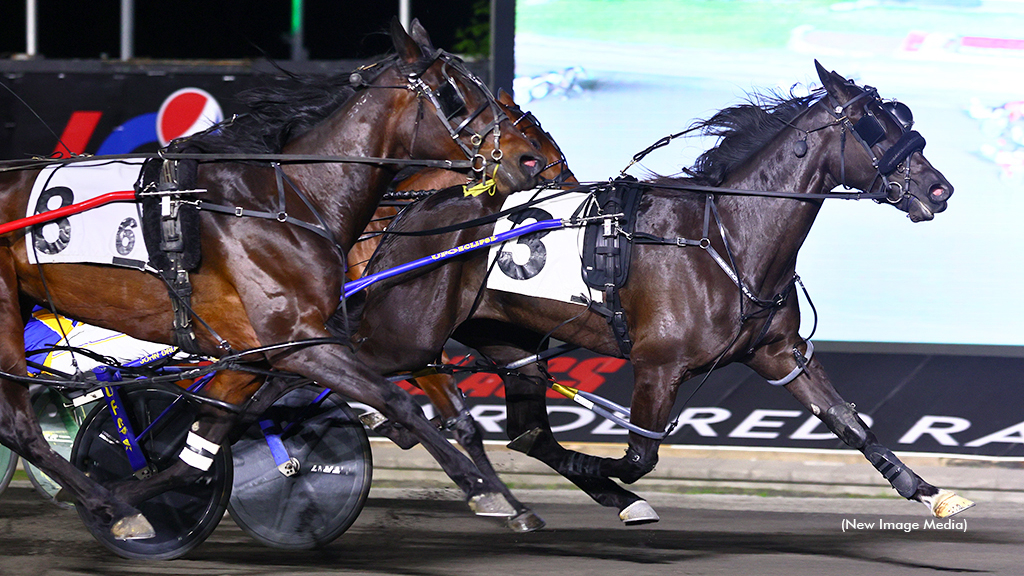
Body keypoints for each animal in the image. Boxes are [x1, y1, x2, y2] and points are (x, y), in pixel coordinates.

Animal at [0, 20, 548, 541]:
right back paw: (111, 507)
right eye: (453, 91)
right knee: (19, 426)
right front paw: (482, 489)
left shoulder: (252, 353)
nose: (529, 160)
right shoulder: (301, 343)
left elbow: (200, 446)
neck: (291, 200)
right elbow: (396, 399)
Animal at [348, 63, 970, 524]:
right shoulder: (657, 366)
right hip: (406, 334)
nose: (940, 189)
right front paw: (599, 471)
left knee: (529, 434)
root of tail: (409, 215)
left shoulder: (777, 353)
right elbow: (638, 455)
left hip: (509, 342)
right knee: (347, 368)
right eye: (873, 127)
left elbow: (848, 421)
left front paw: (928, 490)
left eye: (899, 118)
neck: (727, 238)